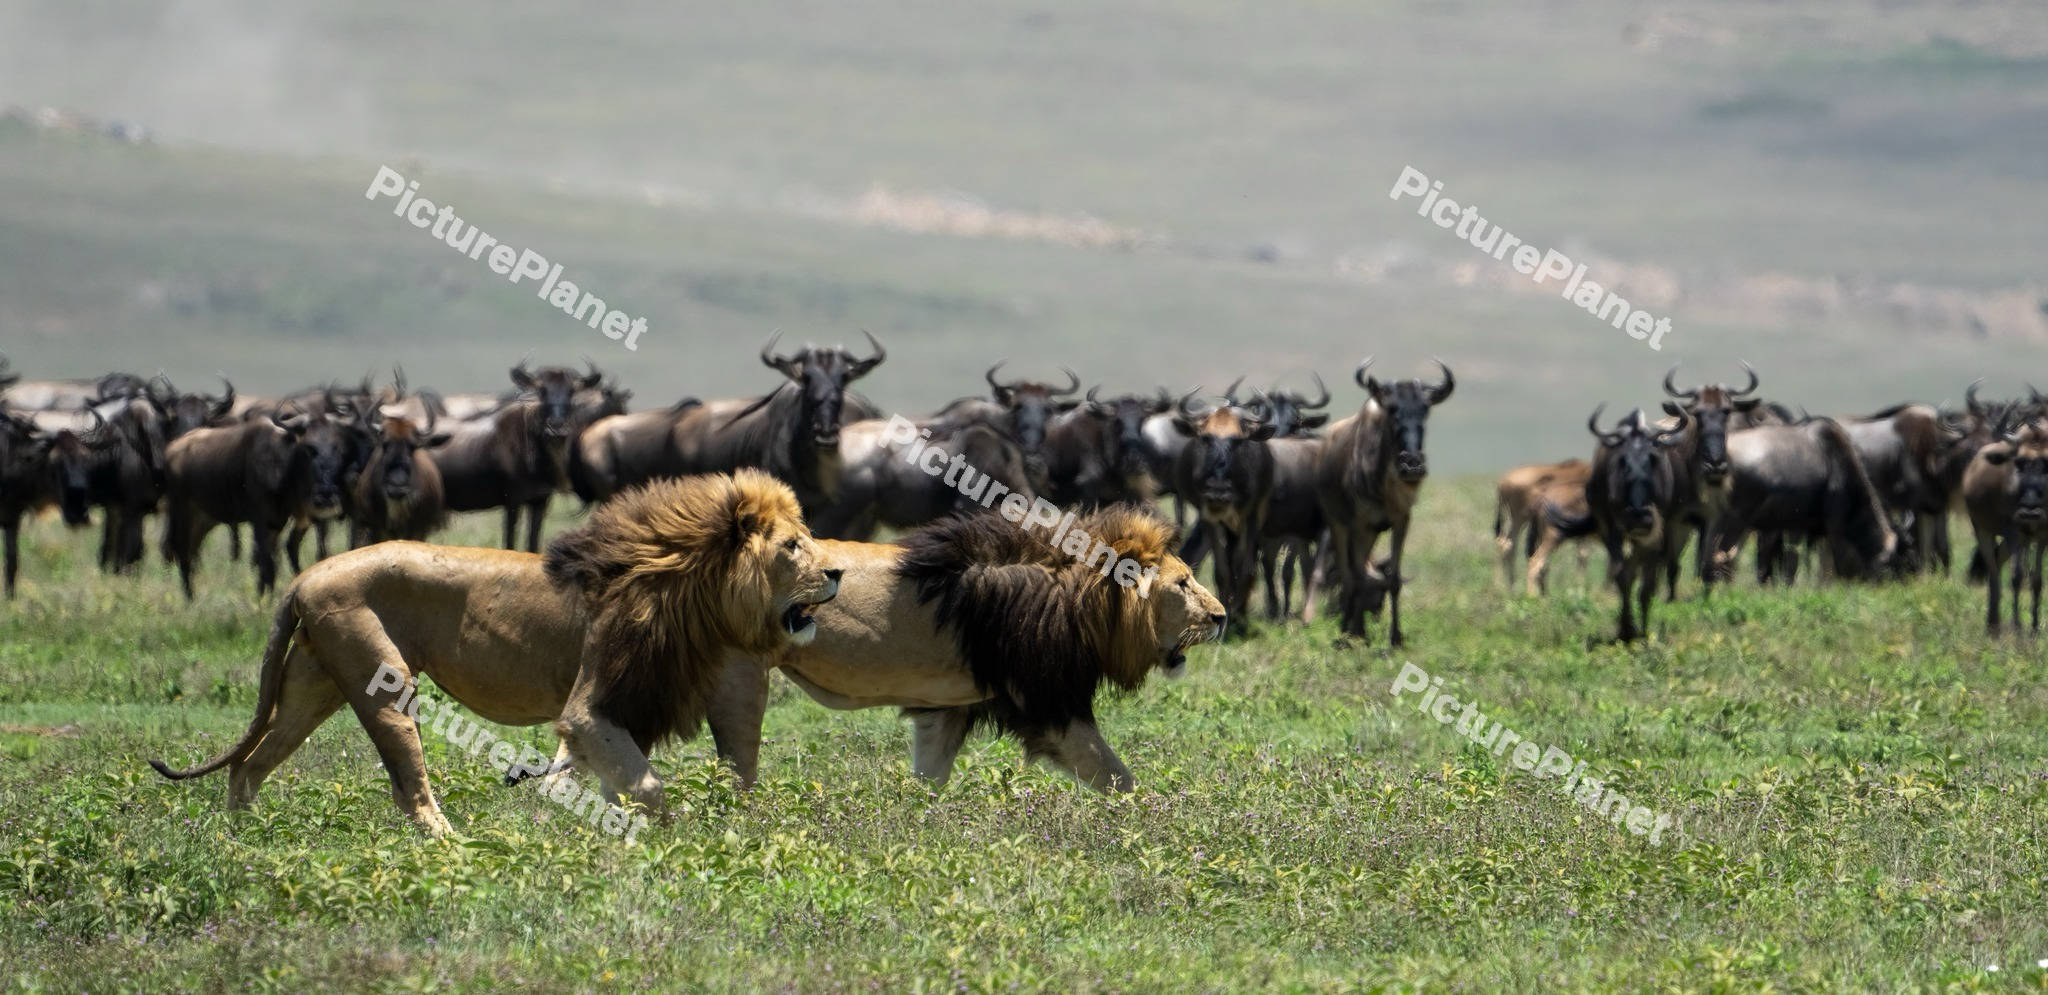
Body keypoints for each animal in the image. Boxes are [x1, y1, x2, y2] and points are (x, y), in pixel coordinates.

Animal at [148, 469, 842, 837]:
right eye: (792, 547)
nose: (837, 572)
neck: (687, 585)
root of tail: (306, 576)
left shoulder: (627, 707)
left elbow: (611, 778)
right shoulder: (591, 705)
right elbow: (646, 787)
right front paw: (657, 840)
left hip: (310, 686)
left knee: (251, 763)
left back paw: (243, 837)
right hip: (384, 683)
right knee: (408, 788)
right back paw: (451, 845)